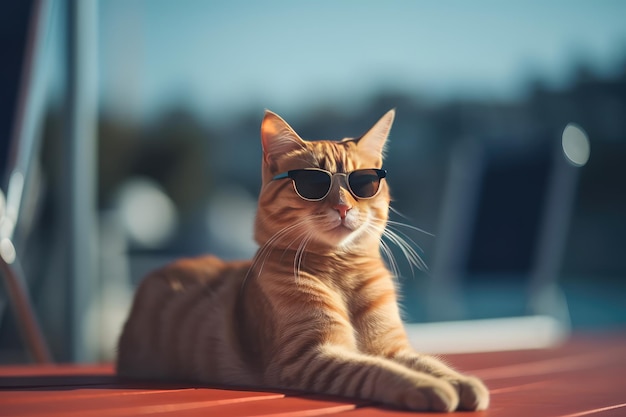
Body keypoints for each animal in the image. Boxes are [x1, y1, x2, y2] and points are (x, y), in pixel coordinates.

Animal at [117, 109, 488, 412]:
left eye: (364, 182)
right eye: (313, 184)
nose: (343, 207)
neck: (339, 269)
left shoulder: (392, 347)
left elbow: (429, 362)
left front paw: (462, 382)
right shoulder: (311, 355)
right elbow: (375, 370)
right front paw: (428, 387)